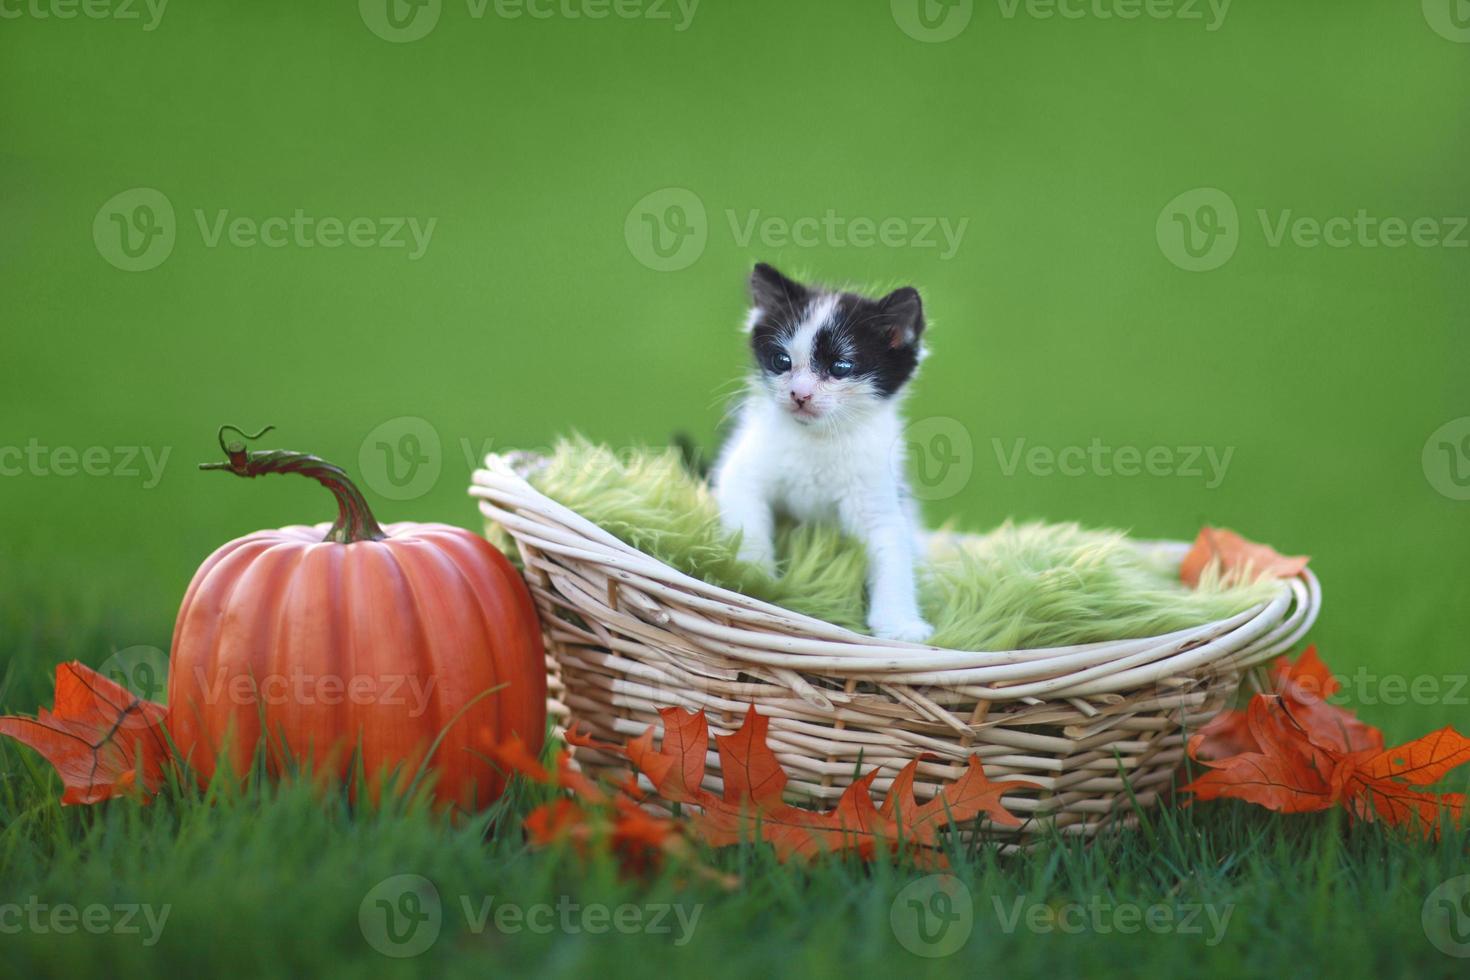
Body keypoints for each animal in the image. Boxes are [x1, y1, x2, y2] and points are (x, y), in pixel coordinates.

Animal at [711, 262, 929, 643]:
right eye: (781, 361)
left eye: (840, 367)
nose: (800, 394)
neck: (818, 439)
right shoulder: (741, 469)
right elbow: (746, 523)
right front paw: (755, 579)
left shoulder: (876, 491)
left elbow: (891, 544)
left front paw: (901, 625)